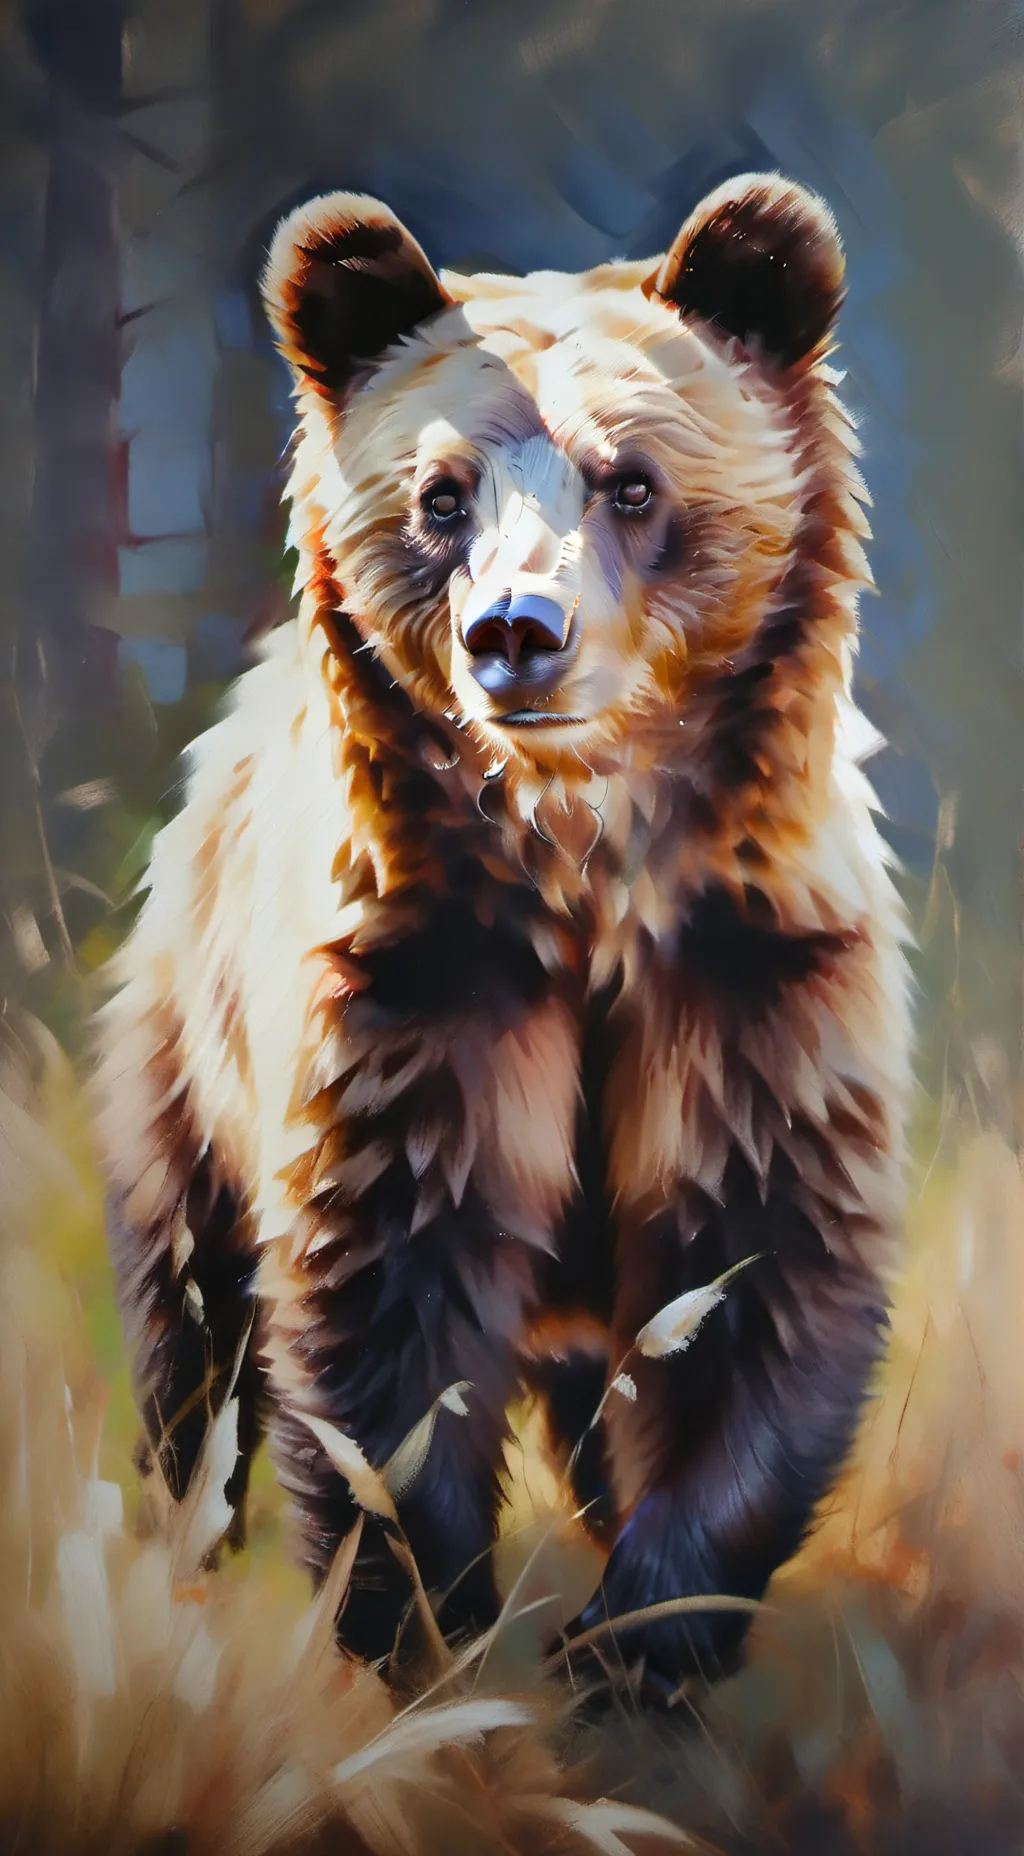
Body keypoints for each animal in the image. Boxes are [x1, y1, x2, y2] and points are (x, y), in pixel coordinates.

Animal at [93, 172, 912, 1705]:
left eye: (631, 481)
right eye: (439, 494)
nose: (515, 631)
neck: (583, 872)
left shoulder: (749, 986)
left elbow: (755, 1284)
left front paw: (637, 1638)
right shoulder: (418, 994)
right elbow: (385, 1322)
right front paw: (433, 1638)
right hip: (181, 1042)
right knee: (191, 1314)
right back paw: (184, 1537)